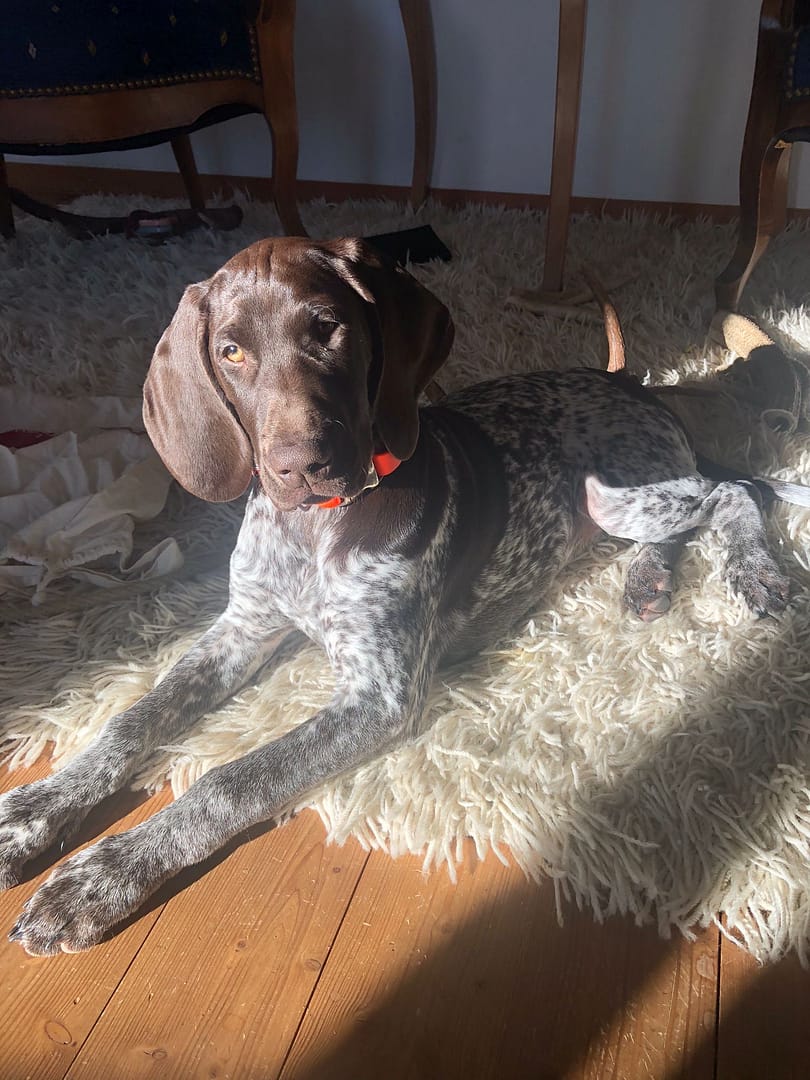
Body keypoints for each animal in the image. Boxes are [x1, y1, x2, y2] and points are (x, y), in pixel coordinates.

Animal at [0, 236, 800, 955]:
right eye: (231, 352)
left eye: (328, 330)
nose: (300, 465)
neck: (314, 528)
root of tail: (627, 381)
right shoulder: (241, 628)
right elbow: (134, 720)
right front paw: (36, 809)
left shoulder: (379, 697)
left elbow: (231, 782)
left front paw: (104, 875)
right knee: (694, 513)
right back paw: (649, 579)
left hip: (618, 493)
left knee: (735, 492)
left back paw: (753, 571)